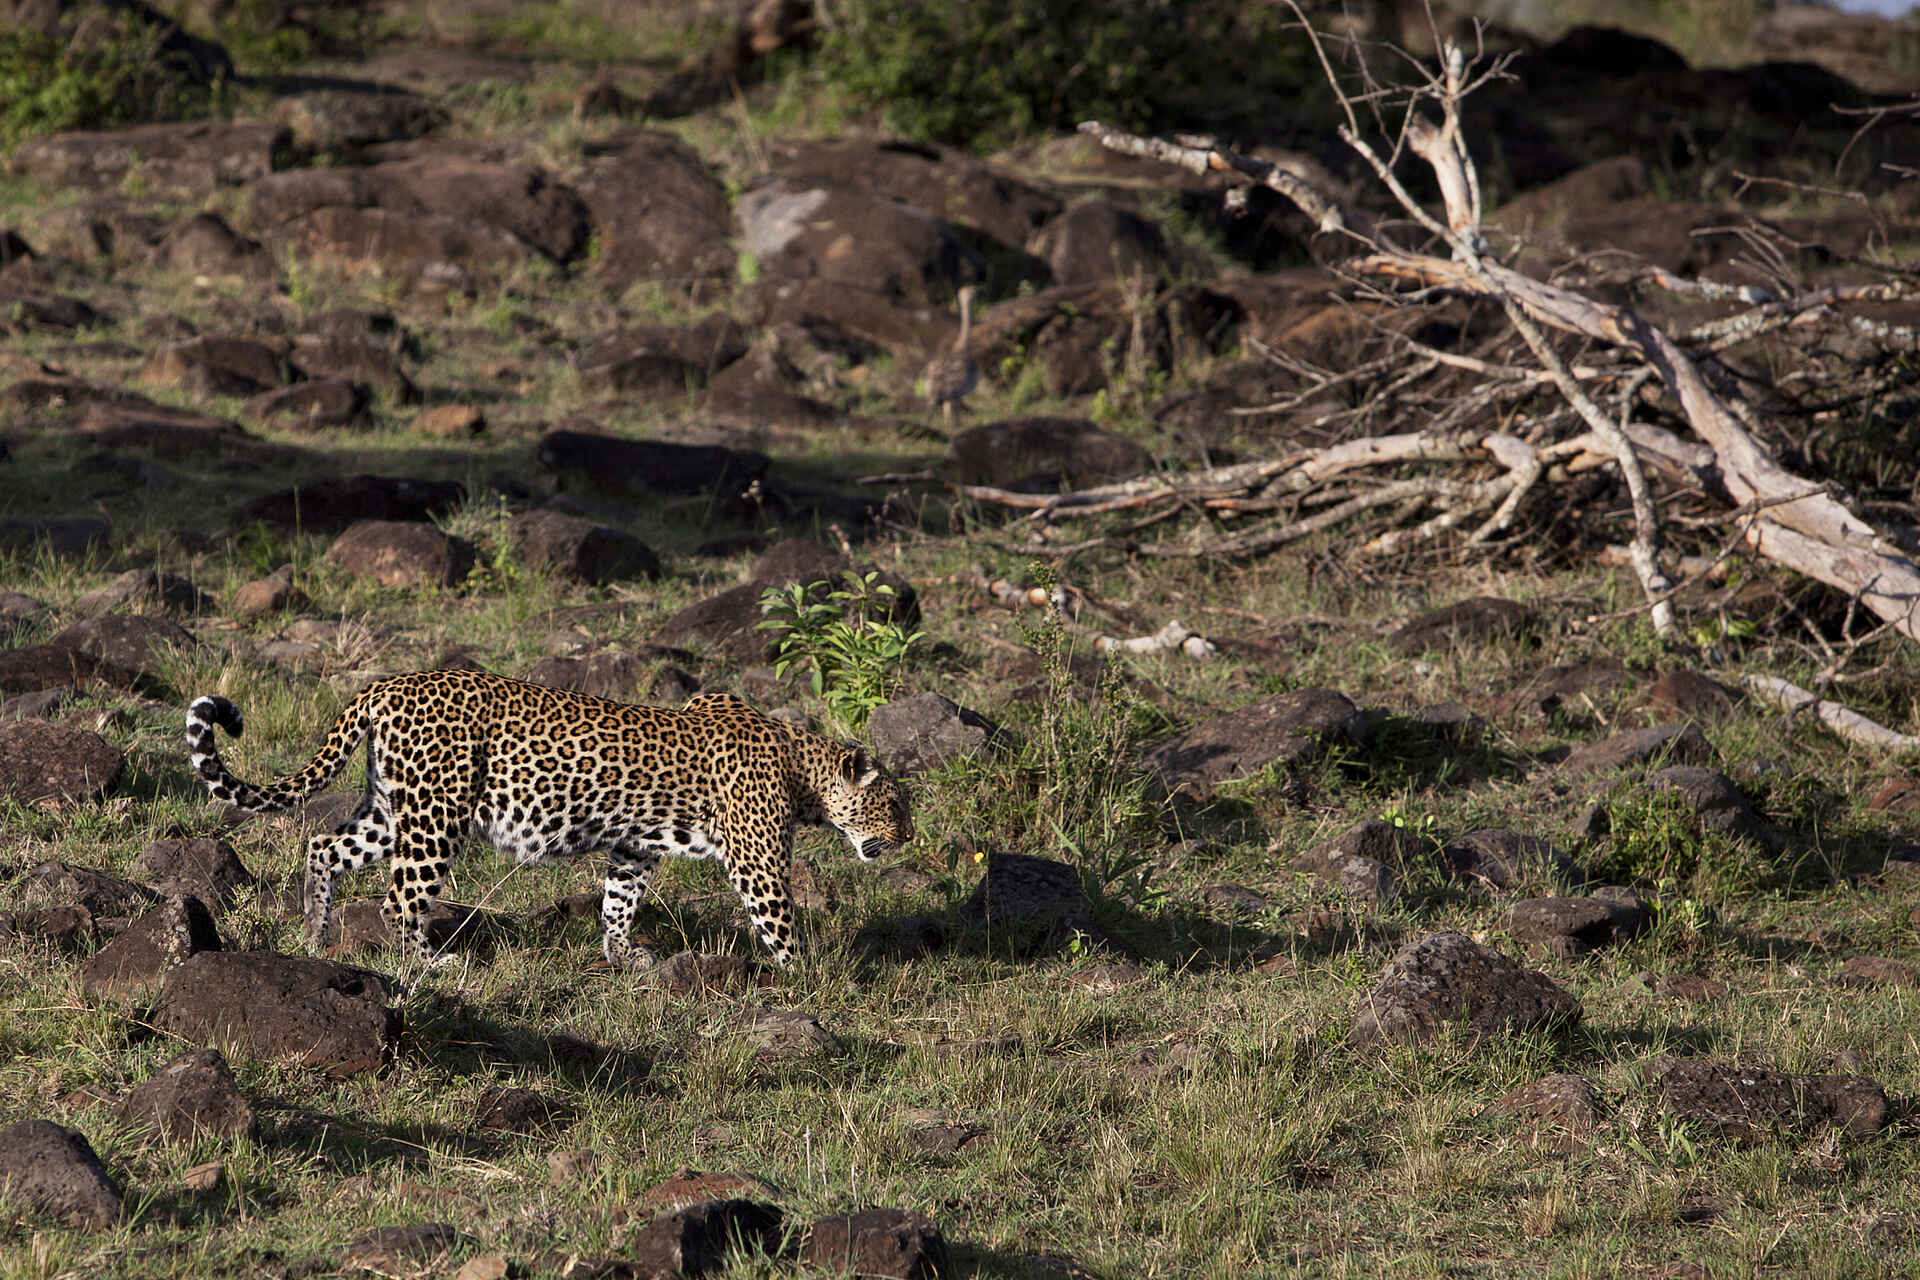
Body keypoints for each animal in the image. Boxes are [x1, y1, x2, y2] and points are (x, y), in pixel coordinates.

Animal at [184, 669, 912, 970]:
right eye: (894, 804)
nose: (909, 835)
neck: (802, 768)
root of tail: (388, 683)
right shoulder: (758, 861)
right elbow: (779, 921)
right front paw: (812, 977)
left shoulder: (633, 846)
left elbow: (620, 899)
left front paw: (621, 955)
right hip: (437, 815)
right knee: (401, 898)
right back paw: (431, 963)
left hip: (394, 808)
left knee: (323, 845)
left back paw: (314, 933)